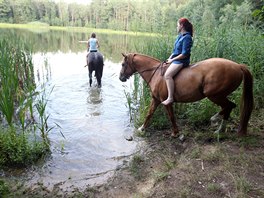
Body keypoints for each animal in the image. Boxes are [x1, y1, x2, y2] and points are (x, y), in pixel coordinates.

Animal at [119, 52, 254, 136]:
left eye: (123, 64)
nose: (121, 78)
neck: (156, 73)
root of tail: (238, 66)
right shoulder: (156, 99)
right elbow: (149, 114)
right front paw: (142, 128)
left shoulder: (165, 101)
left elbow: (171, 116)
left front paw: (175, 133)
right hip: (218, 95)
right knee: (229, 107)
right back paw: (219, 130)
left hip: (214, 95)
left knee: (229, 106)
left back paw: (215, 121)